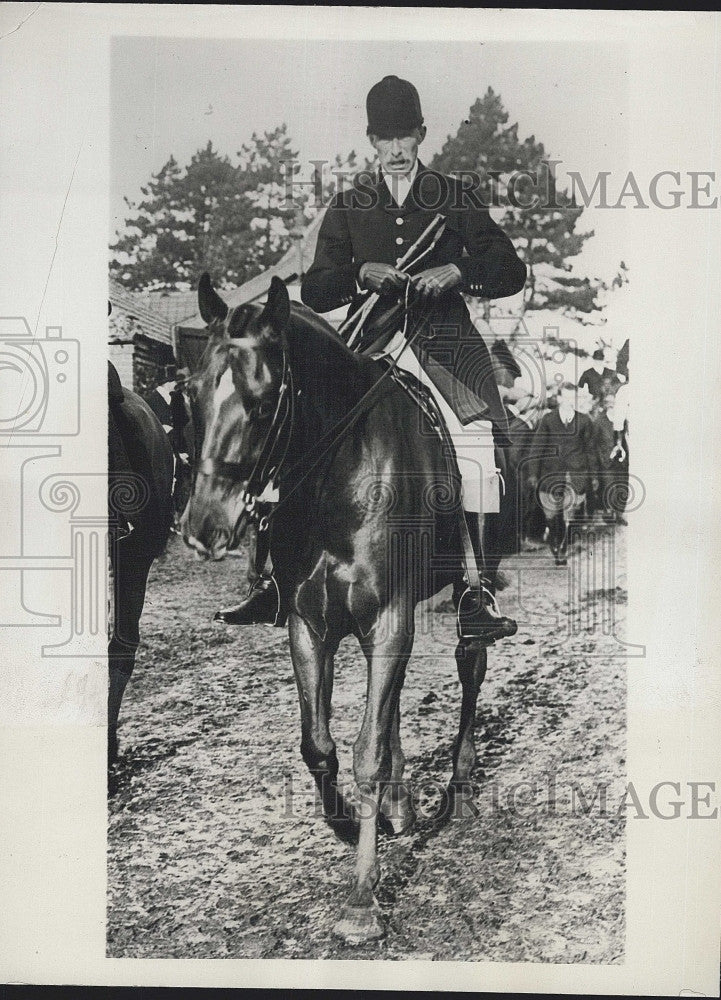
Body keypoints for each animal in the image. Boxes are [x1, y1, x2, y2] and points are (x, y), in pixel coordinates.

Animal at [180, 276, 500, 944]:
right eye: (191, 394)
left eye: (263, 398)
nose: (203, 528)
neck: (342, 479)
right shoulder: (311, 624)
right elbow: (320, 746)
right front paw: (350, 822)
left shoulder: (389, 619)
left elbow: (366, 752)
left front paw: (362, 897)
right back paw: (401, 803)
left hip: (464, 595)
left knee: (471, 665)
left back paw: (458, 787)